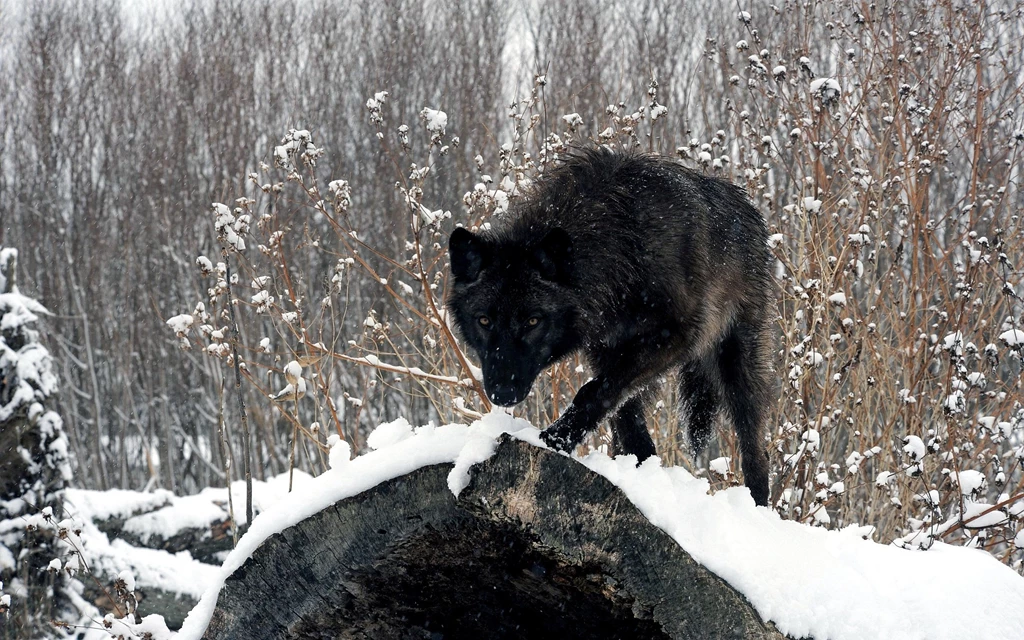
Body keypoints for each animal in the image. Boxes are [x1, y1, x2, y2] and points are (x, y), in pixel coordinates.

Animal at [446, 148, 773, 506]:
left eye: (533, 321)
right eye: (484, 320)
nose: (502, 392)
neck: (621, 242)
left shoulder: (675, 336)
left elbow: (593, 392)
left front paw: (554, 439)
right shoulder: (606, 350)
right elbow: (622, 415)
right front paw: (640, 474)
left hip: (735, 361)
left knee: (753, 438)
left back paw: (757, 505)